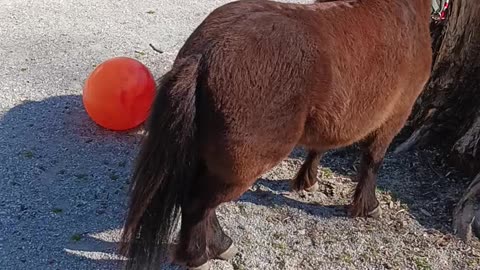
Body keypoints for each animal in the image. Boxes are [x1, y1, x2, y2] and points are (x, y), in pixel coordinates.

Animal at [119, 0, 432, 268]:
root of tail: (206, 53)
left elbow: (320, 146)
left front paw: (307, 179)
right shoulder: (397, 114)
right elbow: (373, 159)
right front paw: (368, 206)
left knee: (200, 201)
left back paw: (219, 243)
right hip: (243, 165)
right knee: (198, 203)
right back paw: (201, 254)